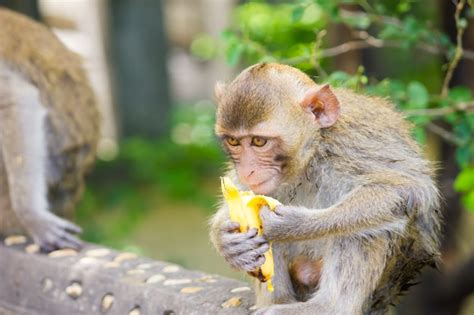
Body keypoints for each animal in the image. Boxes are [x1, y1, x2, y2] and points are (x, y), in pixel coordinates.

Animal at [209, 63, 442, 314]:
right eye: (234, 142)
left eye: (259, 142)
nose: (247, 171)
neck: (310, 155)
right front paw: (228, 242)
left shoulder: (351, 145)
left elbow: (407, 189)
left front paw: (293, 224)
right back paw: (278, 301)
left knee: (364, 227)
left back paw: (327, 306)